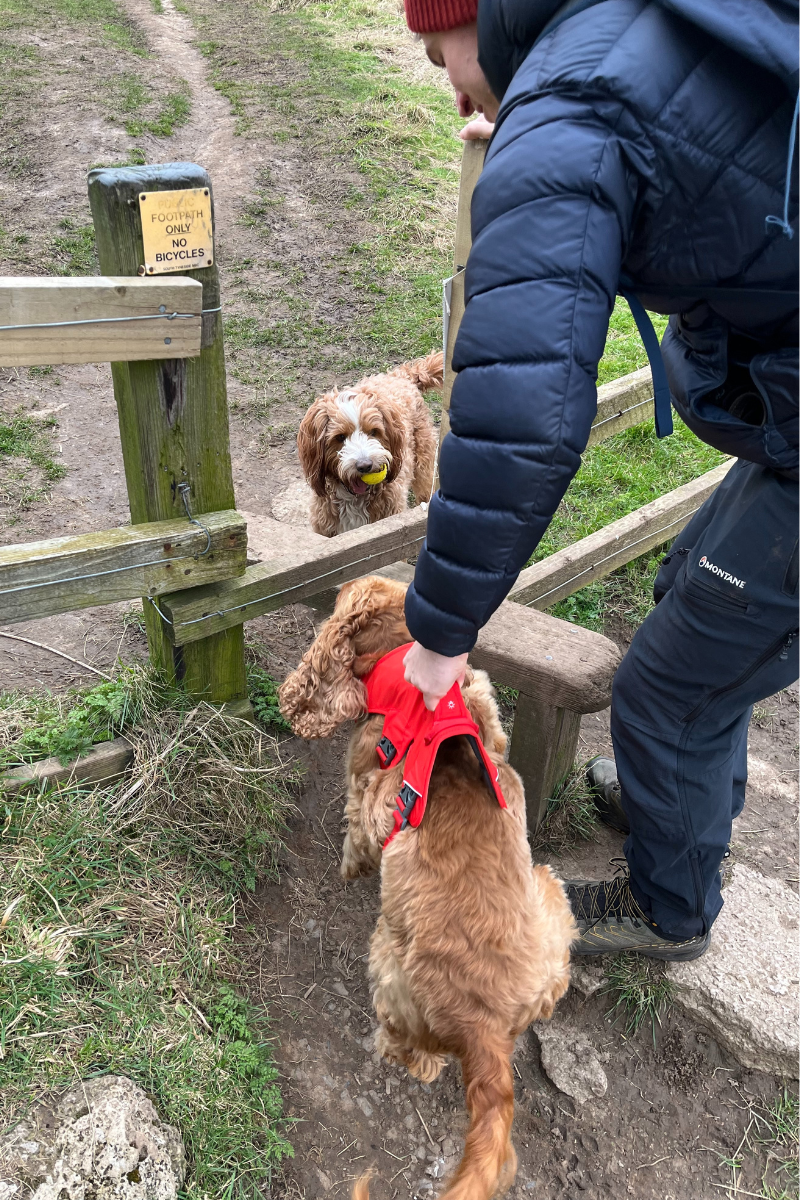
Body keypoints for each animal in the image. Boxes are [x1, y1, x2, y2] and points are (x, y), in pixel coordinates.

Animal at [280, 576, 575, 1195]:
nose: (340, 583)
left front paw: (349, 867)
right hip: (550, 896)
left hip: (390, 962)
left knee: (411, 1050)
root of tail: (488, 1031)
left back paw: (393, 1048)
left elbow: (356, 825)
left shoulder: (369, 787)